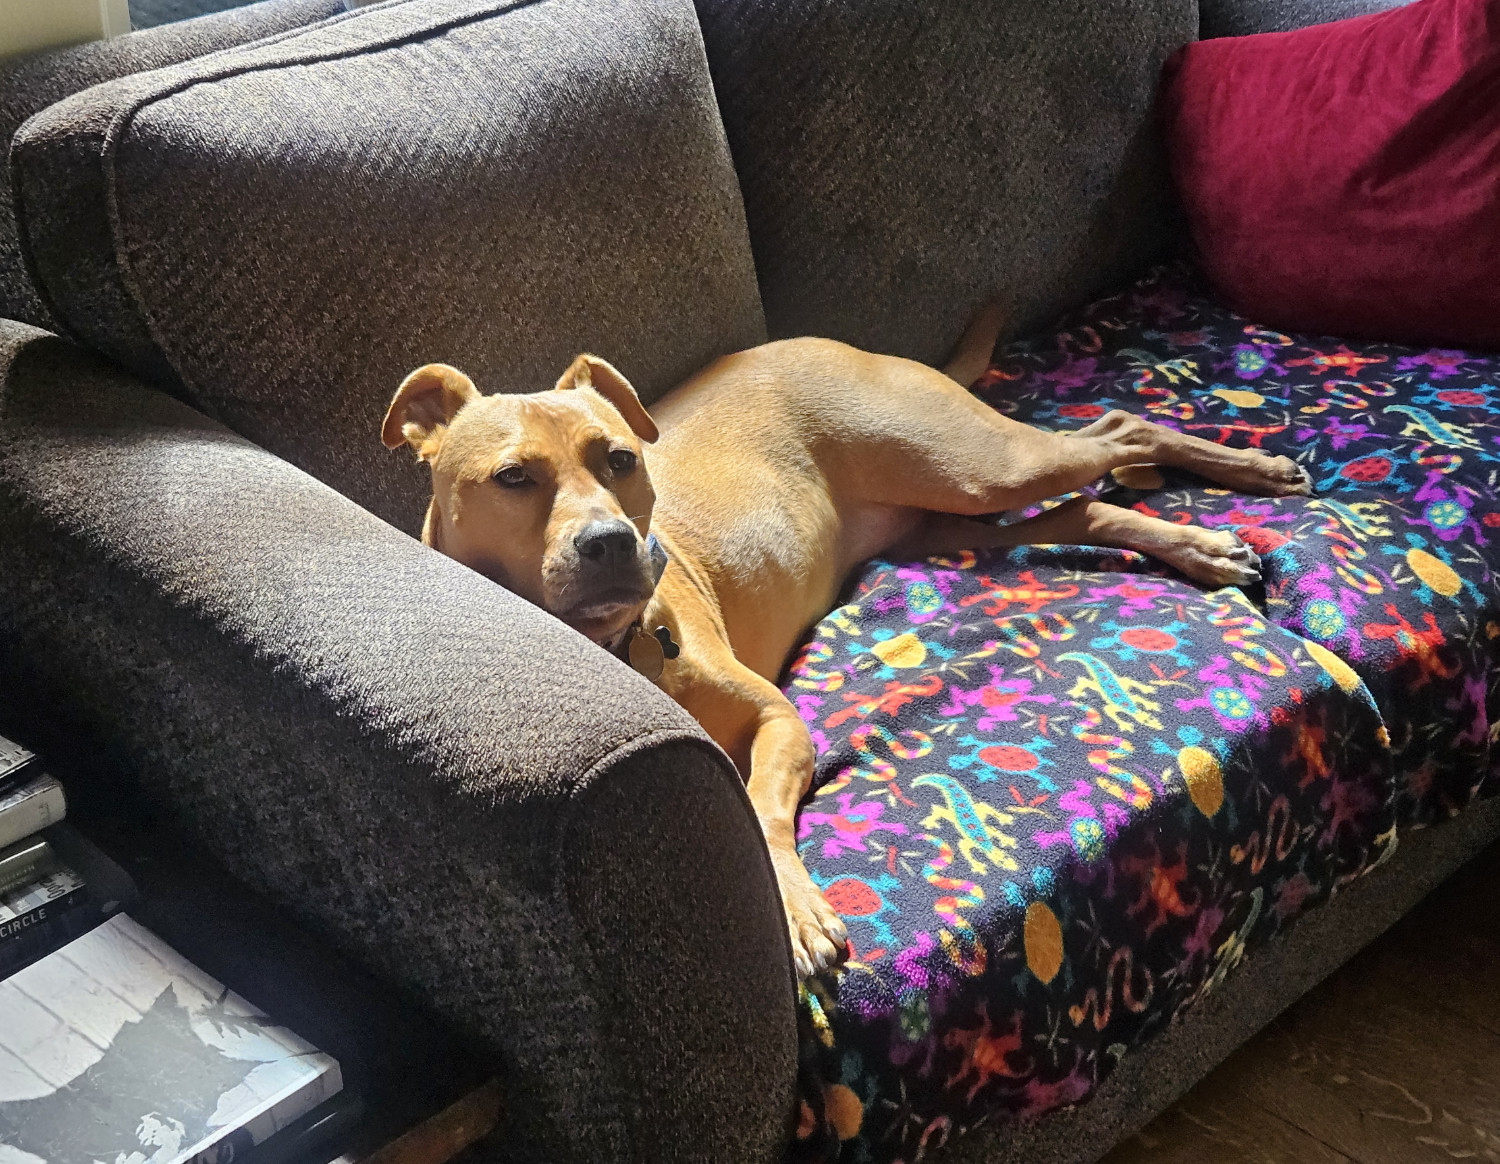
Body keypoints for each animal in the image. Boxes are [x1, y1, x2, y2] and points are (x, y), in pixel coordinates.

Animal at [381, 322, 1308, 978]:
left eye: (620, 459)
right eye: (512, 478)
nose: (611, 542)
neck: (615, 645)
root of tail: (826, 340)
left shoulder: (778, 720)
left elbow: (759, 809)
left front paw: (794, 914)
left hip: (978, 466)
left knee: (1122, 426)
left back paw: (1251, 470)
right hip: (953, 513)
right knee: (1089, 502)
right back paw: (1202, 545)